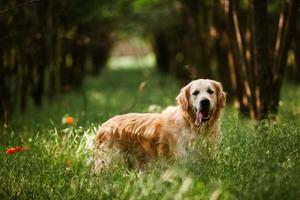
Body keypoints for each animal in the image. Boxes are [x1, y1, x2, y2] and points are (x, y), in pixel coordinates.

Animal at [94, 79, 225, 173]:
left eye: (210, 91)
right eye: (195, 93)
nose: (205, 101)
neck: (192, 124)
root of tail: (104, 125)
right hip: (108, 161)